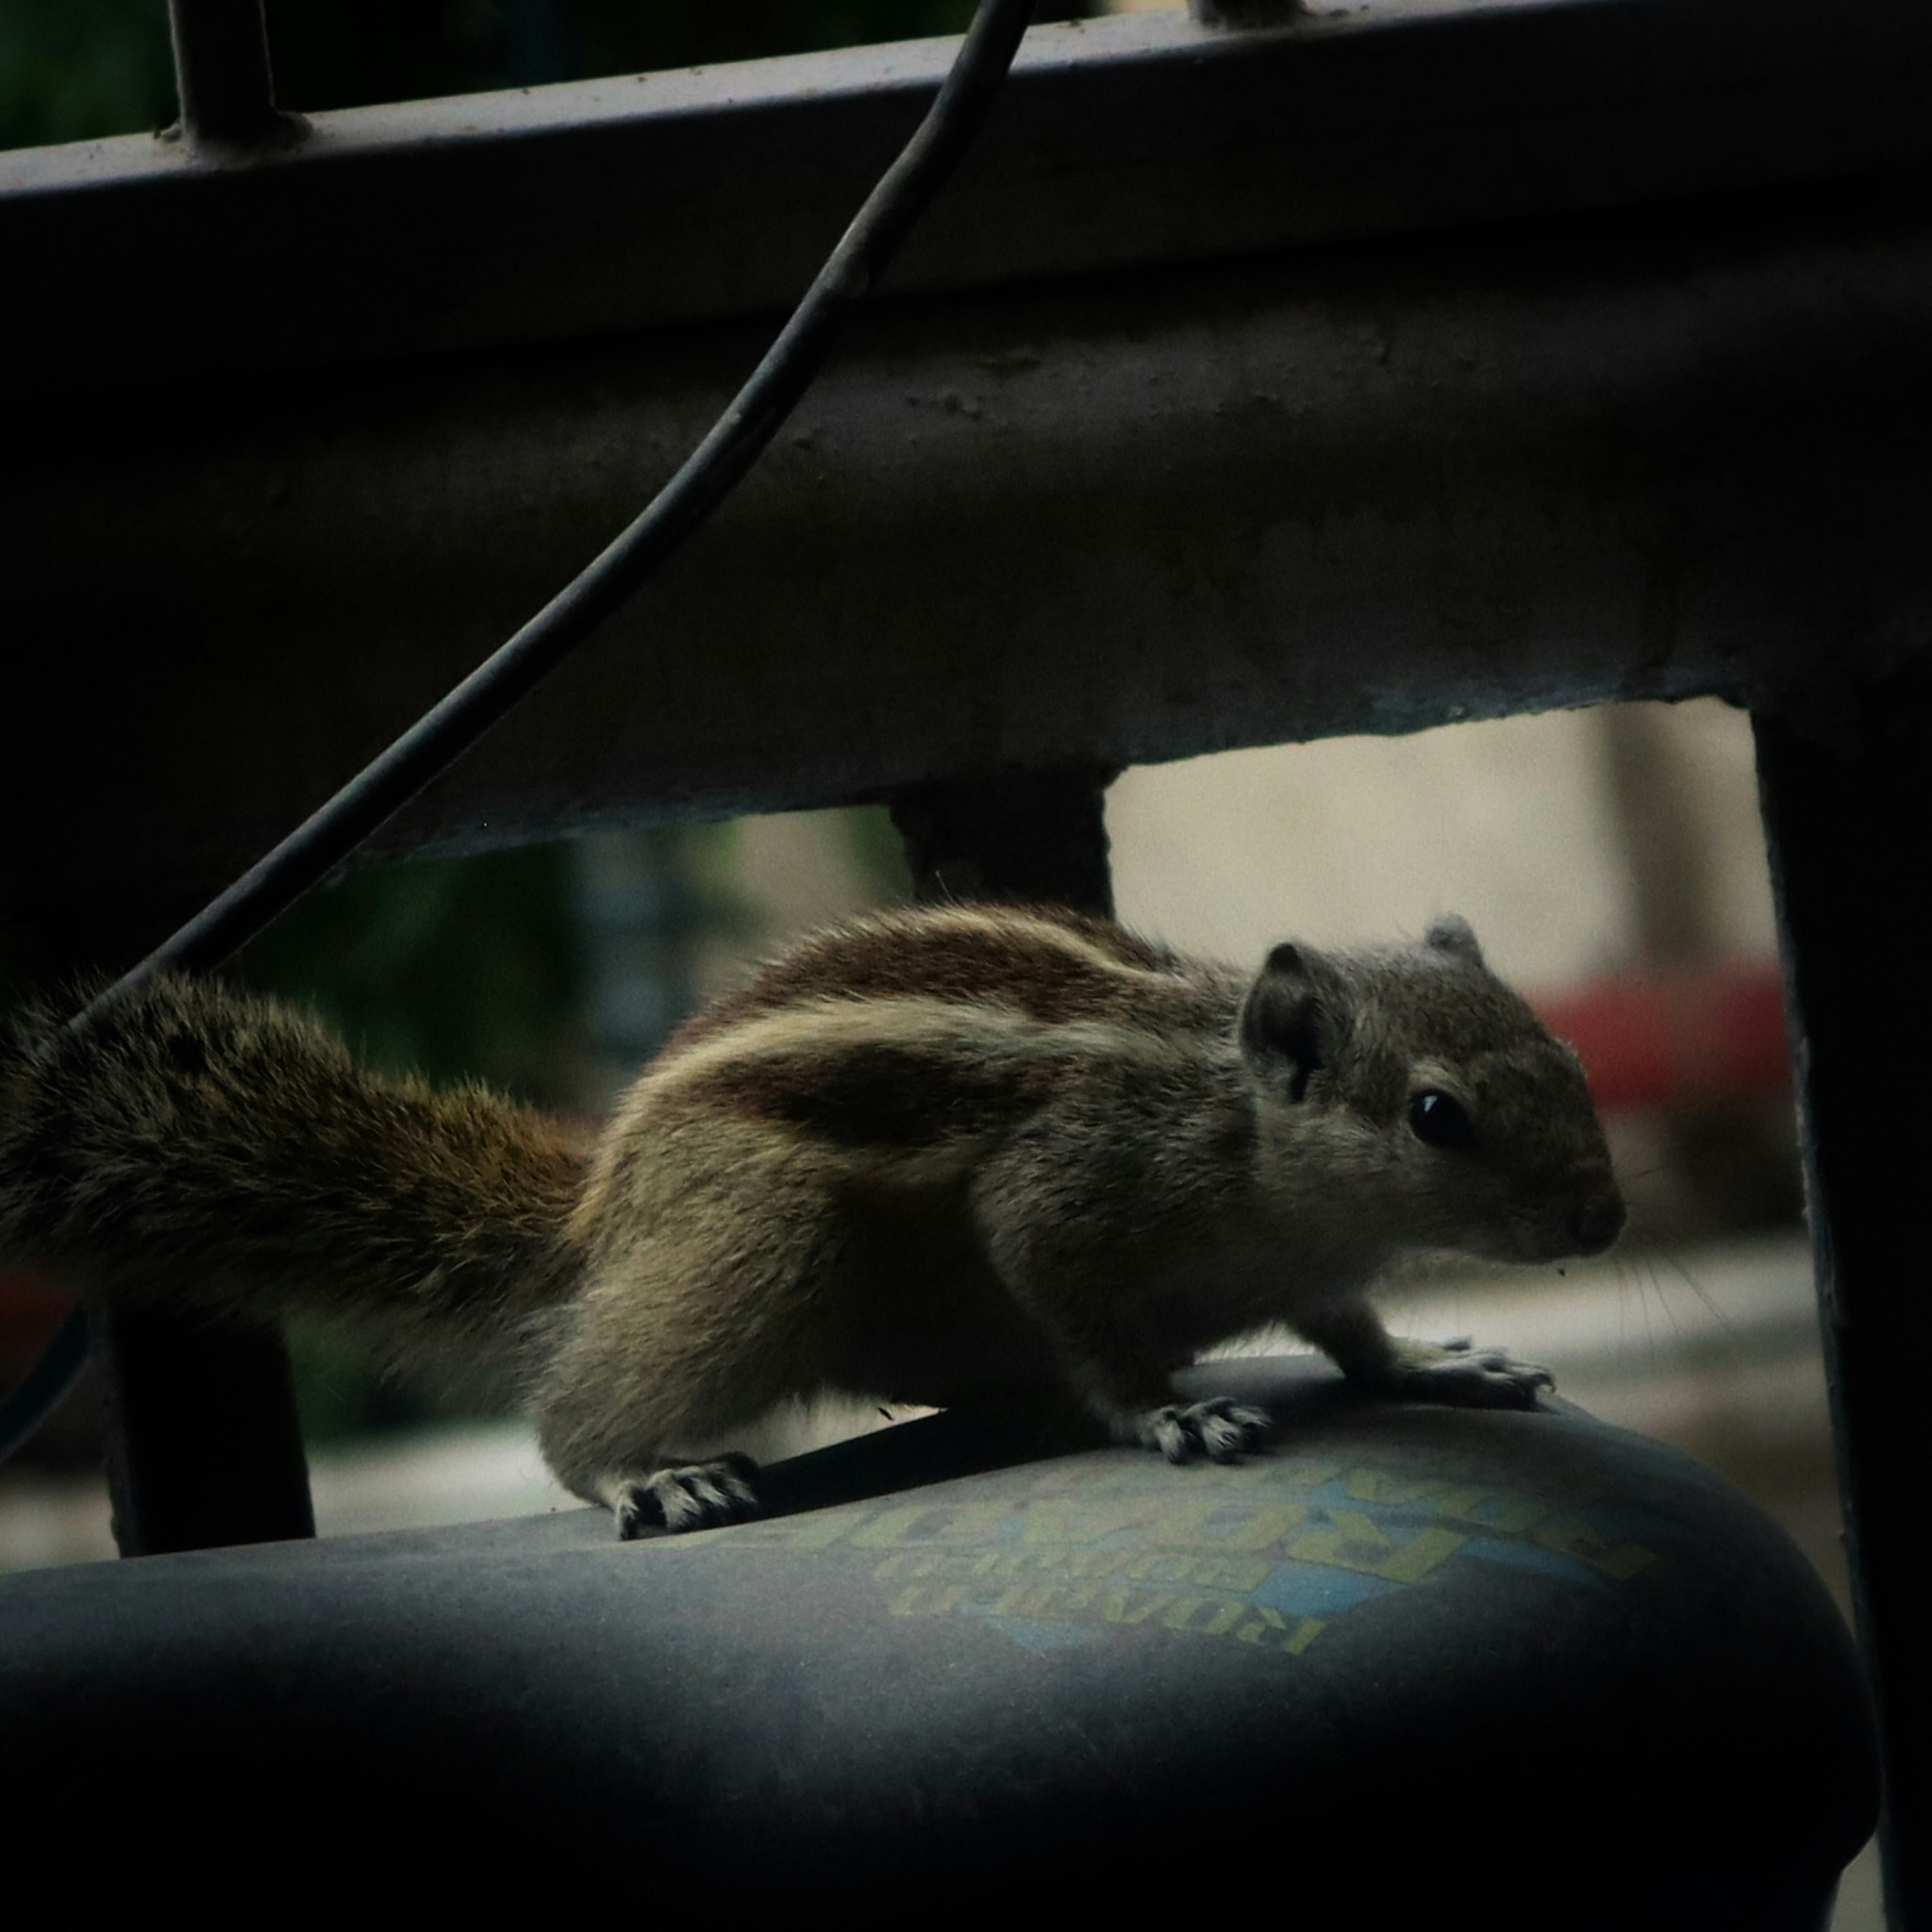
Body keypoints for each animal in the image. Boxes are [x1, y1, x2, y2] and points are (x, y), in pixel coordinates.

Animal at [0, 901, 1623, 1538]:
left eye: (1562, 1051)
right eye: (1437, 1115)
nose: (1606, 1222)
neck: (1253, 1143)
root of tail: (604, 1210)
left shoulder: (1323, 1271)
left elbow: (1354, 1336)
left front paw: (1436, 1366)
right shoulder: (1064, 1194)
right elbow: (1078, 1311)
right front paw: (1166, 1410)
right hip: (762, 1239)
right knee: (576, 1413)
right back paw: (642, 1472)